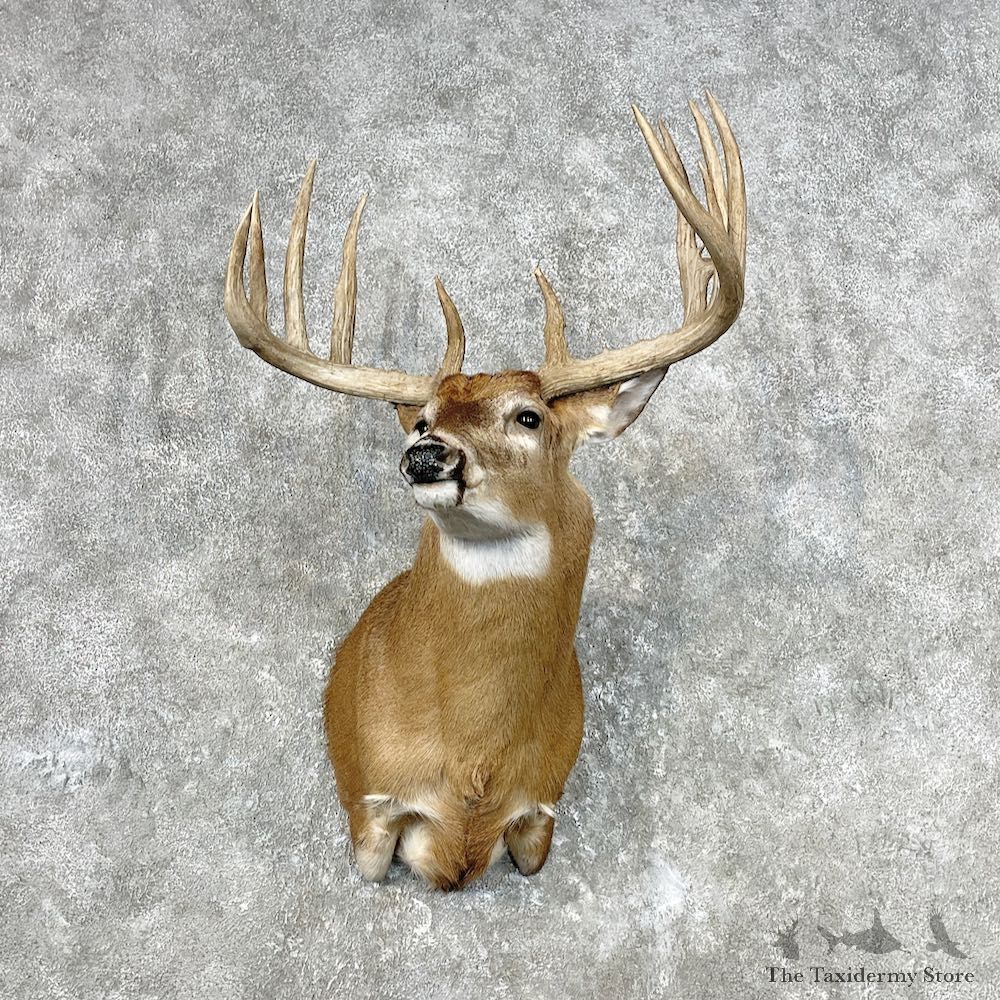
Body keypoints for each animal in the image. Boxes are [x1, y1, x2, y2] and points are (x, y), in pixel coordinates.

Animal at [223, 94, 746, 889]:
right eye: (425, 419)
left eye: (528, 417)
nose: (425, 455)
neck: (474, 766)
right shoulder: (371, 807)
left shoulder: (542, 811)